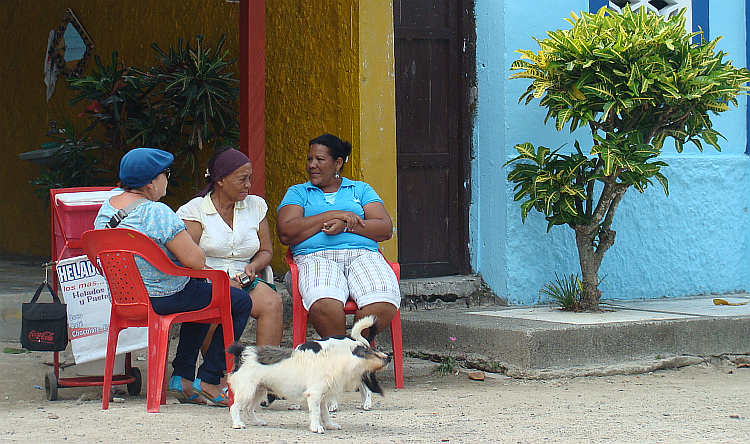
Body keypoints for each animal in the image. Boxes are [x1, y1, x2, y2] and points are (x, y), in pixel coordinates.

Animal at [226, 316, 390, 434]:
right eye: (374, 354)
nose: (389, 357)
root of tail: (242, 353)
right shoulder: (315, 395)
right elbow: (316, 413)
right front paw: (316, 427)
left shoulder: (322, 397)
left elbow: (324, 413)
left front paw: (329, 425)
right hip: (247, 391)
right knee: (235, 407)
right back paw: (238, 424)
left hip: (258, 391)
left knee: (248, 408)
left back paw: (256, 422)